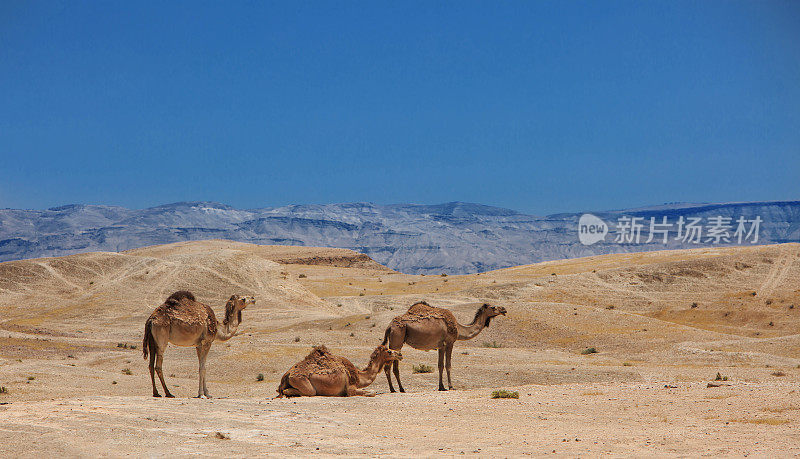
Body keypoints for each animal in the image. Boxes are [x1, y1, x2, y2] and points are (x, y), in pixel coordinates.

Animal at [276, 344, 404, 398]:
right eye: (389, 351)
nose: (400, 354)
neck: (359, 376)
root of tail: (287, 374)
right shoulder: (350, 388)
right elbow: (372, 392)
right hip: (302, 381)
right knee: (307, 392)